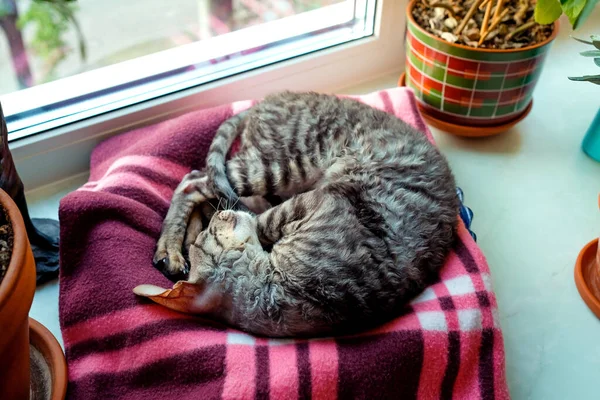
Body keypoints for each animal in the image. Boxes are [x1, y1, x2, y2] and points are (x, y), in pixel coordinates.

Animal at [137, 91, 460, 338]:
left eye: (212, 235)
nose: (218, 222)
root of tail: (267, 100)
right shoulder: (320, 201)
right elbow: (261, 222)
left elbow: (255, 218)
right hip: (281, 166)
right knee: (194, 181)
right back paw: (171, 247)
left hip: (278, 173)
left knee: (208, 189)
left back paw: (187, 235)